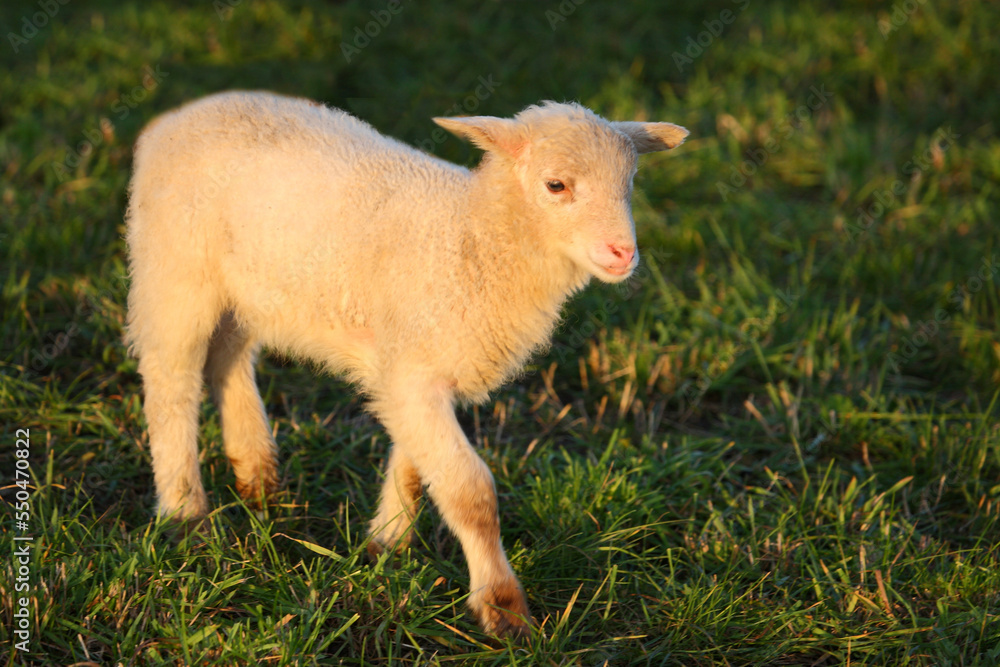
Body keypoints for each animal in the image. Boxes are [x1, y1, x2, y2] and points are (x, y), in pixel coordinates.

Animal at [124, 91, 688, 639]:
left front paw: (386, 544)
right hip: (174, 270)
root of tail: (176, 118)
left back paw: (257, 476)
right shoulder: (414, 372)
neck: (472, 239)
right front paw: (502, 608)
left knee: (229, 360)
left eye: (630, 183)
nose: (623, 254)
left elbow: (418, 466)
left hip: (245, 288)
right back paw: (185, 515)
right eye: (556, 185)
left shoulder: (417, 365)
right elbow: (469, 492)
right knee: (171, 383)